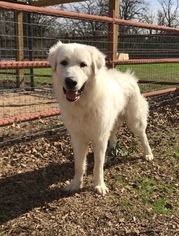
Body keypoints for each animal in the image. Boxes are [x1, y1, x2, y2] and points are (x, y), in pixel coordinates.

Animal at [48, 41, 154, 195]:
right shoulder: (78, 138)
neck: (84, 104)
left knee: (143, 135)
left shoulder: (99, 137)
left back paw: (148, 154)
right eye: (63, 63)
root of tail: (129, 76)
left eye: (83, 64)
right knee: (113, 135)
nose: (71, 82)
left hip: (134, 122)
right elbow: (79, 165)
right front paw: (75, 184)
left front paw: (99, 185)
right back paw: (111, 150)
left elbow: (98, 165)